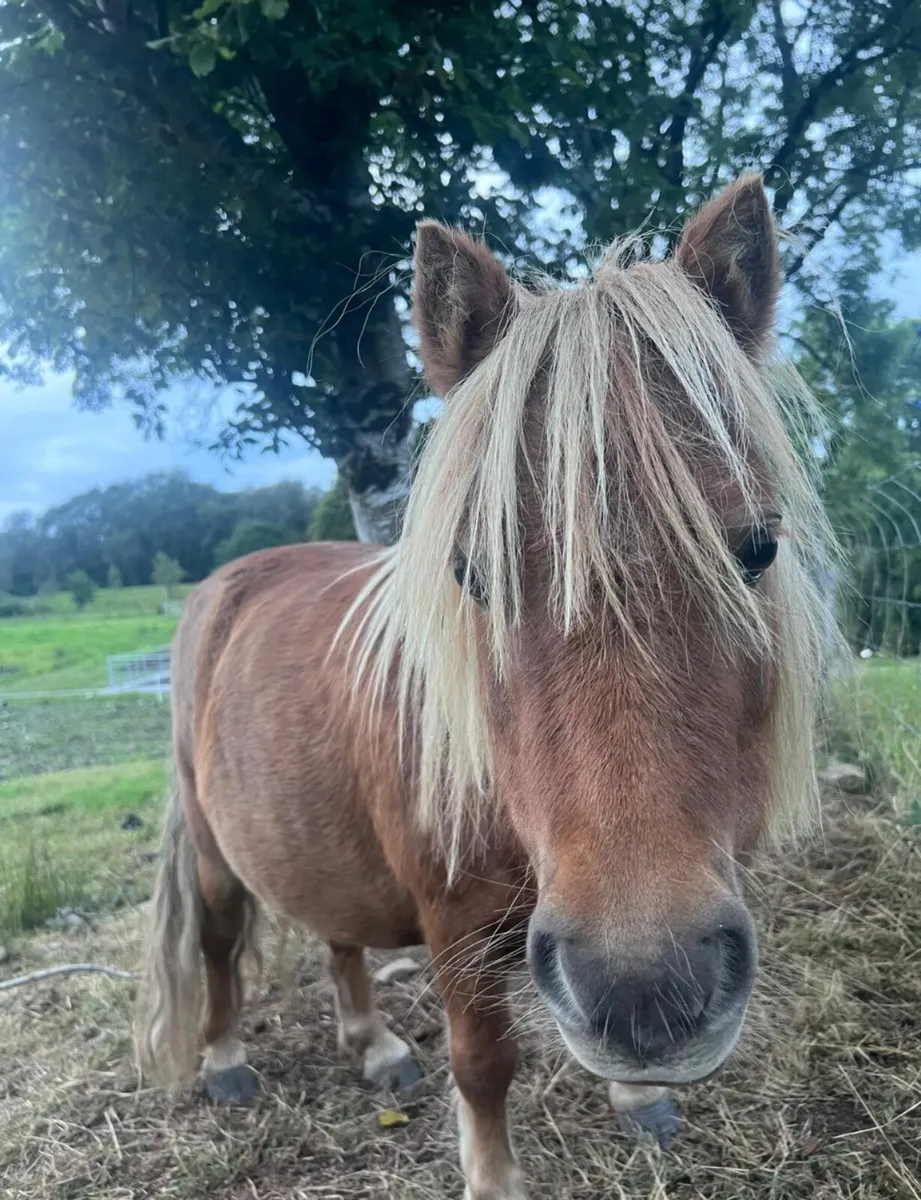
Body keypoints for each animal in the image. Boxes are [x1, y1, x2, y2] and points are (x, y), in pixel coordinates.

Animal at [135, 175, 831, 1200]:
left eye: (756, 549)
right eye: (472, 574)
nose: (645, 991)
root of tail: (229, 580)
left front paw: (635, 1099)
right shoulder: (454, 928)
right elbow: (484, 1062)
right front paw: (494, 1177)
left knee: (337, 933)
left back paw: (374, 1044)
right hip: (217, 847)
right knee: (221, 941)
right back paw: (226, 1061)